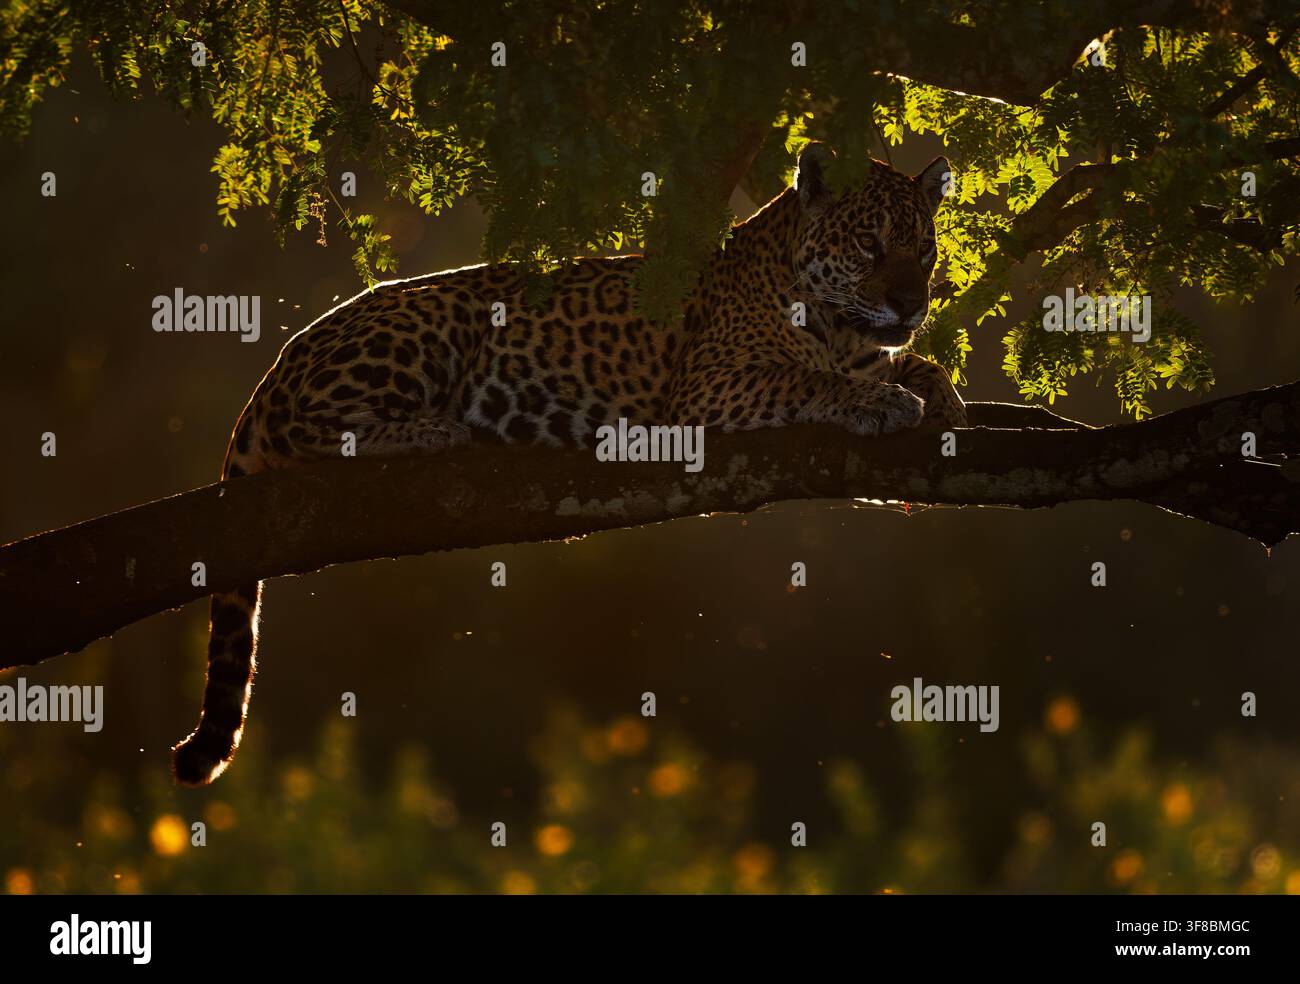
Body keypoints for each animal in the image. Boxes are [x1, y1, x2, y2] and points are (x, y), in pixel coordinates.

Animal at [172, 143, 967, 784]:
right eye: (870, 246)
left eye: (925, 250)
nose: (912, 303)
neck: (841, 327)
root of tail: (272, 370)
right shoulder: (710, 386)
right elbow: (809, 380)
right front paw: (881, 401)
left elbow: (912, 365)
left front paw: (942, 395)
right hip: (422, 327)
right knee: (312, 427)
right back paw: (436, 430)